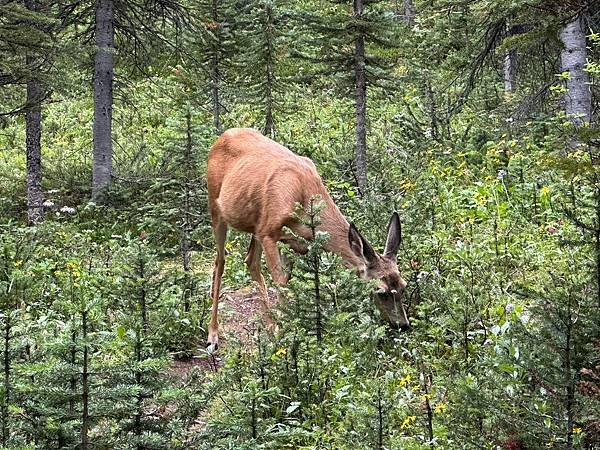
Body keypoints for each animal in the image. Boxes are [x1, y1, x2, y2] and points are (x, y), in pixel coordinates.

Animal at [206, 126, 408, 348]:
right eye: (381, 291)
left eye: (403, 286)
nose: (403, 325)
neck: (304, 196)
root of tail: (221, 137)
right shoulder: (269, 232)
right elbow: (282, 284)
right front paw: (281, 337)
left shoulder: (295, 243)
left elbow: (287, 281)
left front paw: (281, 331)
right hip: (216, 208)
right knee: (220, 262)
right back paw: (212, 335)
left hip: (254, 223)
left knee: (250, 260)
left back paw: (267, 326)